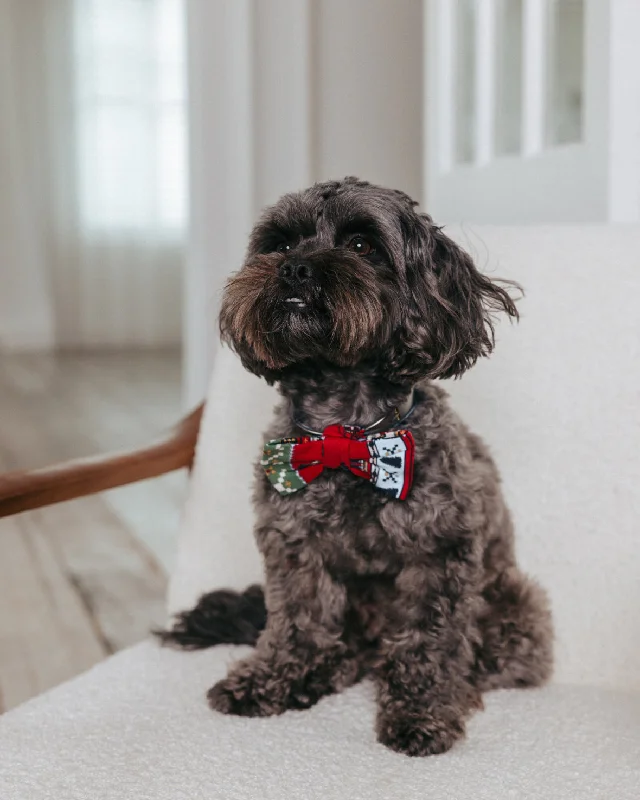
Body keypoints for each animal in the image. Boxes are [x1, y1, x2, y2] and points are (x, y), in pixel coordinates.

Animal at [161, 177, 556, 756]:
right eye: (280, 243)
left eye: (363, 245)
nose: (295, 269)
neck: (345, 434)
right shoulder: (294, 547)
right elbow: (298, 622)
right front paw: (273, 678)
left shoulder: (439, 555)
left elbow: (429, 642)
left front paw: (422, 711)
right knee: (348, 649)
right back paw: (321, 673)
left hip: (516, 612)